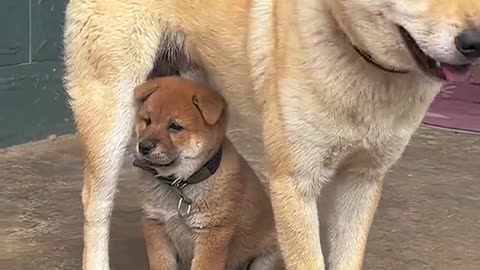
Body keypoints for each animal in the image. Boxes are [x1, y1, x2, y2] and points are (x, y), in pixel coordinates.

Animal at [132, 76, 282, 270]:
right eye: (147, 121)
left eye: (175, 127)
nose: (143, 146)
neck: (180, 185)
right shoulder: (156, 225)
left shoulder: (212, 233)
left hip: (266, 258)